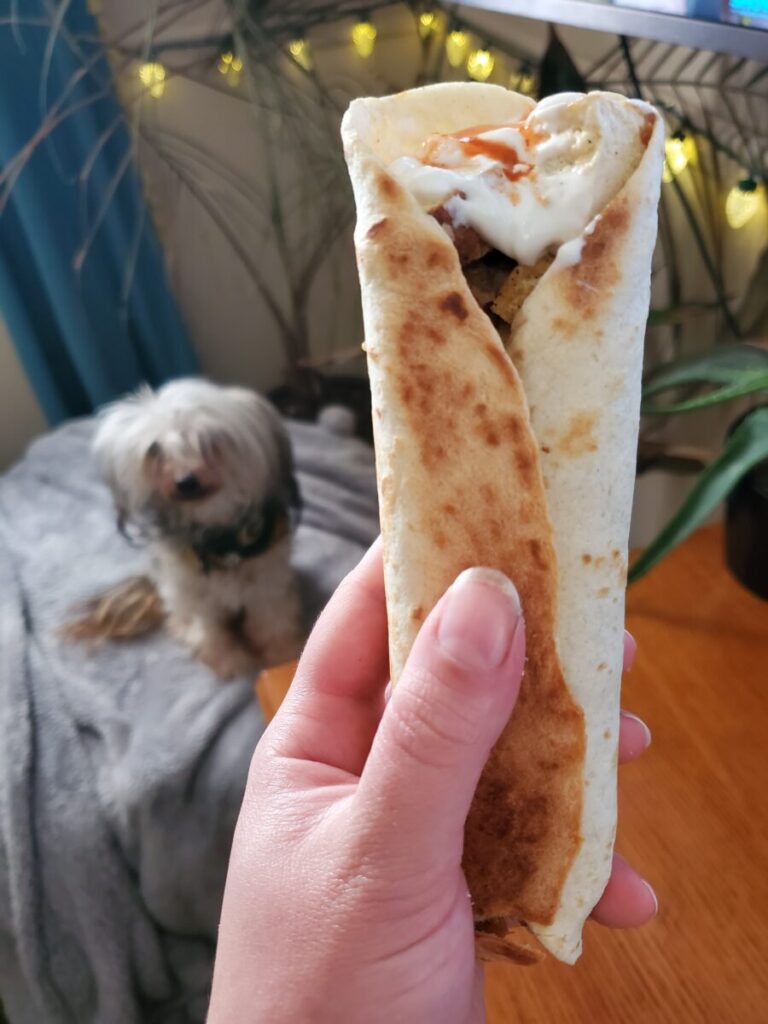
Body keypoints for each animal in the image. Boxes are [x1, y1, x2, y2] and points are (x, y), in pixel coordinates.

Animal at [91, 380, 303, 675]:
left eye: (209, 441)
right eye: (154, 450)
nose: (185, 482)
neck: (223, 545)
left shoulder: (267, 583)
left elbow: (270, 622)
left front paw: (282, 655)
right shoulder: (198, 593)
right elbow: (211, 629)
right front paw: (228, 660)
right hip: (174, 590)